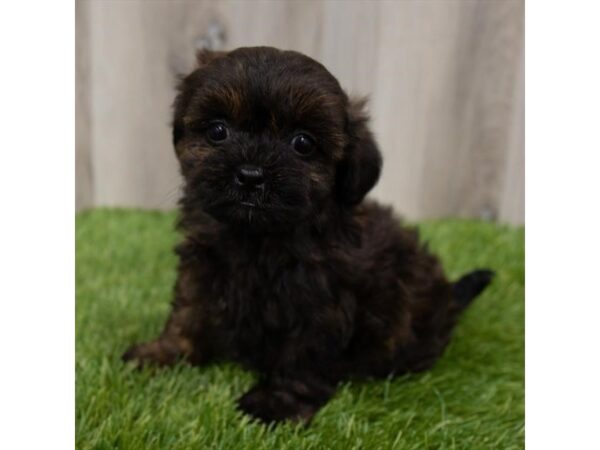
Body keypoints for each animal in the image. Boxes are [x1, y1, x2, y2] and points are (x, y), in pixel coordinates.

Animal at [122, 47, 492, 424]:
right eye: (217, 131)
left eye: (303, 143)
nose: (251, 175)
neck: (258, 236)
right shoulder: (201, 270)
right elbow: (187, 314)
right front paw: (163, 353)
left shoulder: (322, 300)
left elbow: (304, 353)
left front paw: (276, 403)